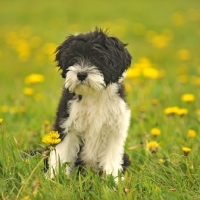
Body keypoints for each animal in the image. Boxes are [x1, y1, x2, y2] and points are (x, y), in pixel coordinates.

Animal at [47, 27, 132, 179]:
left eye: (97, 58)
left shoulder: (115, 128)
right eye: (73, 58)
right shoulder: (67, 125)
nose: (81, 74)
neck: (93, 95)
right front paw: (55, 179)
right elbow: (61, 154)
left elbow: (111, 157)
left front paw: (113, 180)